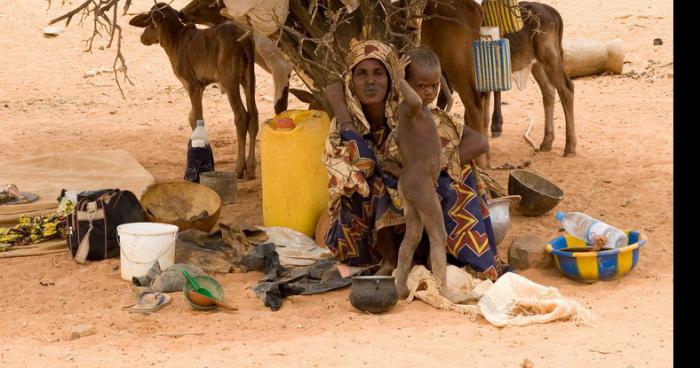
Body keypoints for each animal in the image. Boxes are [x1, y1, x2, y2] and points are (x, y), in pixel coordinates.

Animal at [130, 2, 258, 179]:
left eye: (150, 22)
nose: (143, 38)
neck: (175, 41)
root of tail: (243, 40)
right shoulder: (201, 86)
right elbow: (192, 118)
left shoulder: (192, 85)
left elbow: (196, 117)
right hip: (249, 77)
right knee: (254, 115)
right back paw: (251, 169)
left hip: (230, 80)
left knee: (241, 116)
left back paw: (240, 168)